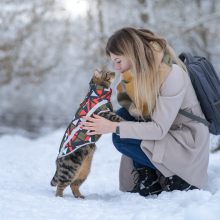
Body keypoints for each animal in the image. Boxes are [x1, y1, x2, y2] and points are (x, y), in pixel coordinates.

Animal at [50, 69, 124, 198]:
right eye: (107, 73)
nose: (114, 72)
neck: (98, 92)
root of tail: (57, 161)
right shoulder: (103, 113)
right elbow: (116, 117)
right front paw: (124, 120)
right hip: (69, 170)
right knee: (60, 185)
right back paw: (60, 197)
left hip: (84, 171)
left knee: (74, 185)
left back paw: (80, 196)